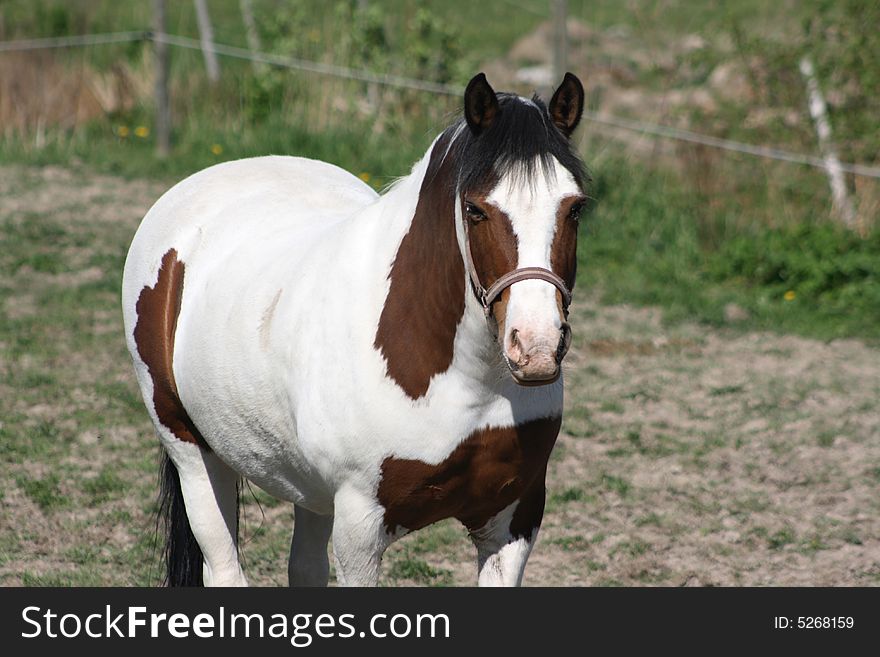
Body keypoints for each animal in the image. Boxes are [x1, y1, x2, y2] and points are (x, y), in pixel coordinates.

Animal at [120, 70, 588, 584]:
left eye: (575, 208)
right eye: (475, 209)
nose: (536, 348)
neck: (462, 379)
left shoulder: (513, 518)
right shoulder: (359, 528)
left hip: (308, 489)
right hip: (192, 453)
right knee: (223, 565)